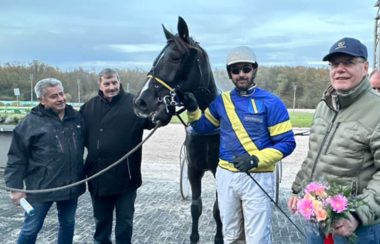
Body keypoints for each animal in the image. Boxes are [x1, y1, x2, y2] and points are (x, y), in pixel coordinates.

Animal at [134, 17, 223, 244]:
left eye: (174, 57)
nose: (140, 102)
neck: (208, 127)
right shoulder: (193, 170)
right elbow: (196, 208)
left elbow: (219, 209)